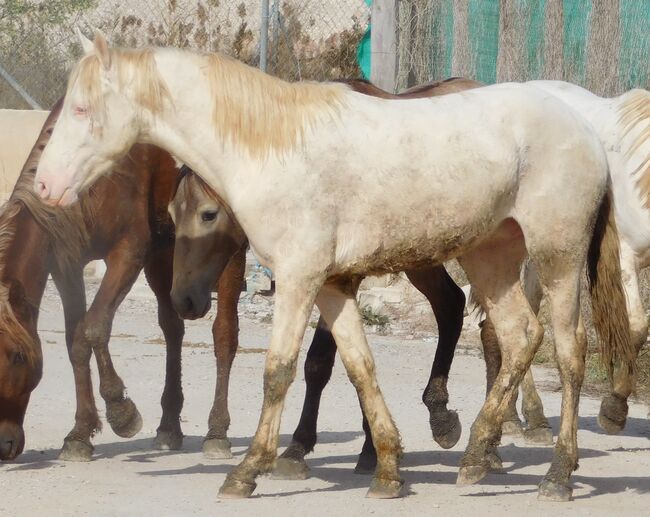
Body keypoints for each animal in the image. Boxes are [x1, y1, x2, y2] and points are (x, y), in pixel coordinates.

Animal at [33, 31, 632, 500]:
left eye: (82, 109)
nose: (44, 186)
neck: (274, 146)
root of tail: (583, 126)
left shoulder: (299, 280)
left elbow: (279, 370)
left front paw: (249, 470)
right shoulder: (333, 286)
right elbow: (359, 367)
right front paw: (387, 469)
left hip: (556, 256)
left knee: (569, 352)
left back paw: (557, 473)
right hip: (491, 258)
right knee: (519, 337)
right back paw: (475, 454)